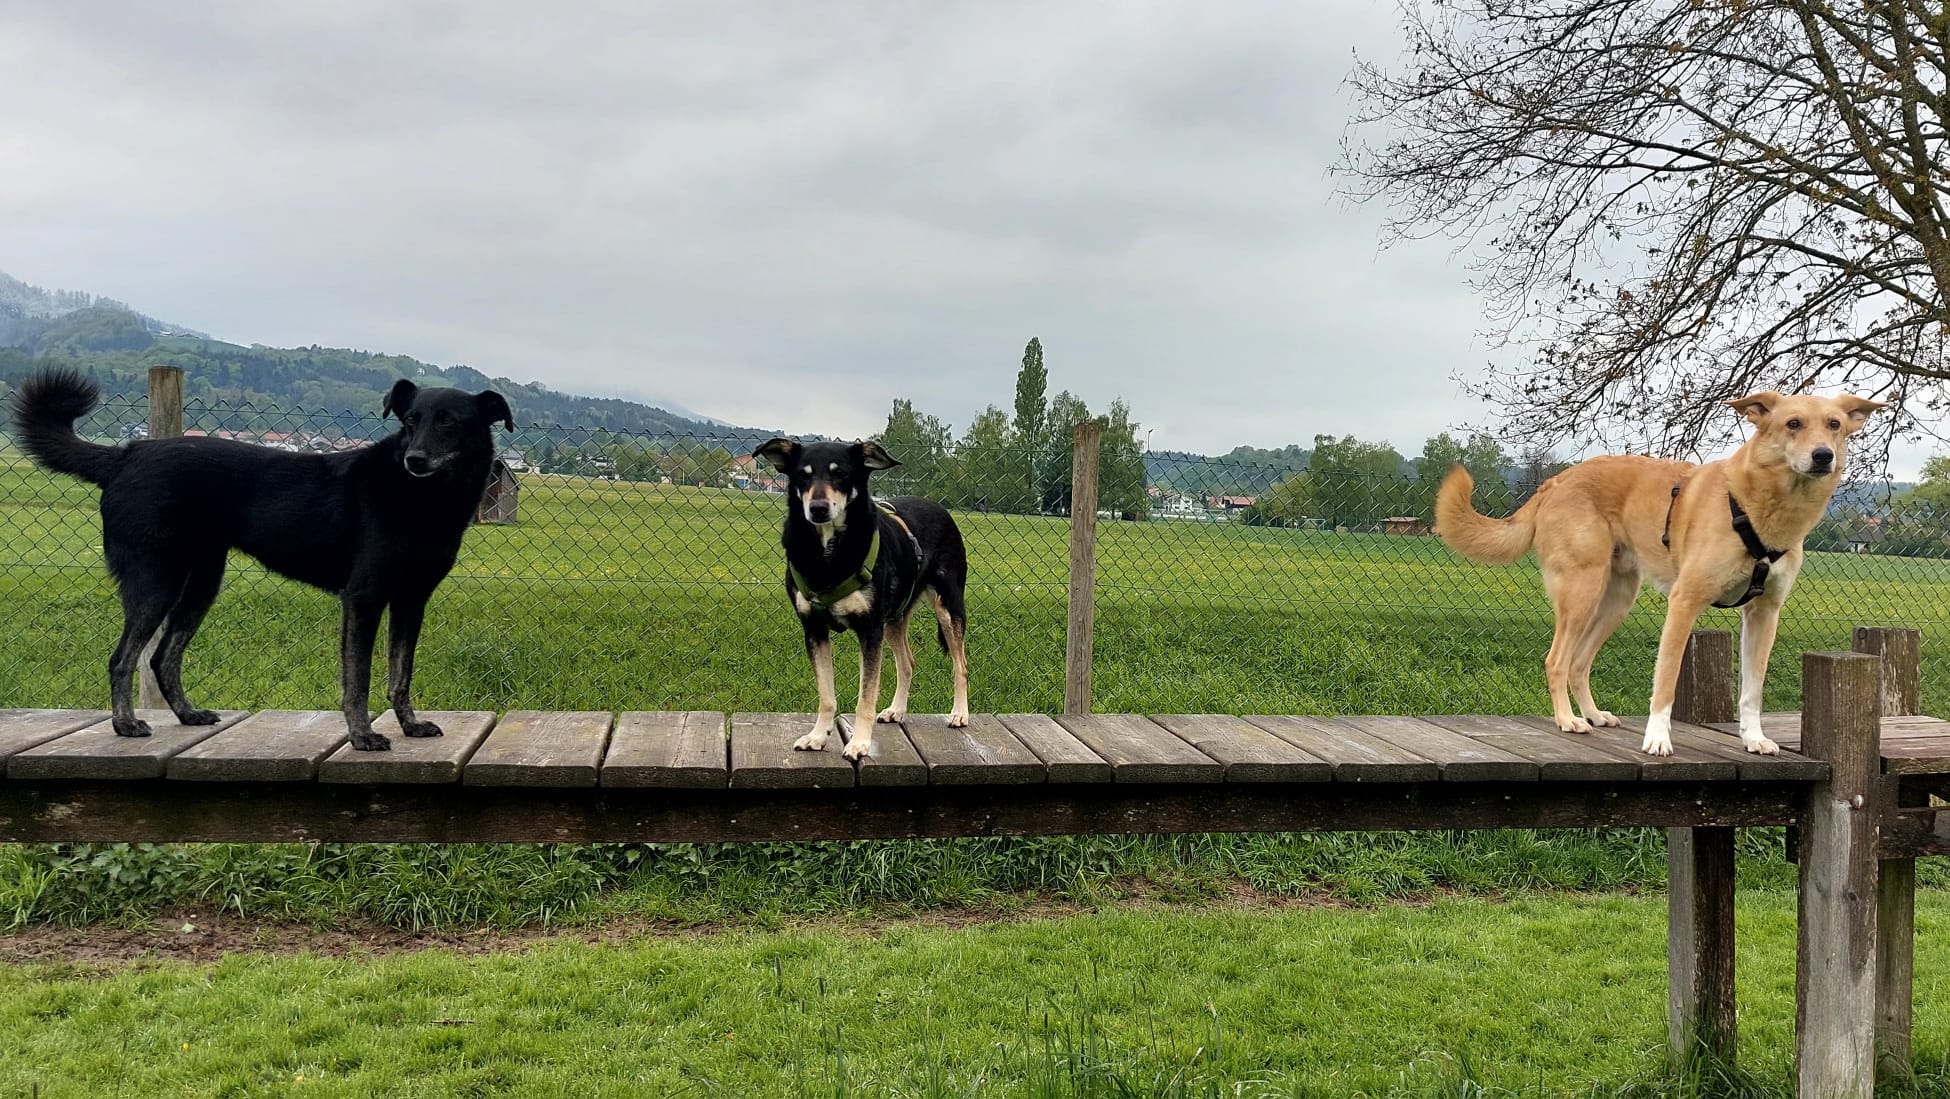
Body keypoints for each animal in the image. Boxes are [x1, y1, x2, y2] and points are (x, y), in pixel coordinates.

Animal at [10, 368, 512, 751]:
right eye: (410, 420)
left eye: (449, 422)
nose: (415, 459)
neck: (422, 497)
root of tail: (124, 455)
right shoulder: (363, 599)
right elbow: (359, 679)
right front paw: (361, 736)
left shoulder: (411, 601)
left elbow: (399, 674)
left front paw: (409, 725)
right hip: (156, 581)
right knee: (123, 659)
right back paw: (124, 724)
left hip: (201, 583)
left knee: (162, 658)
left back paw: (187, 714)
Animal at [752, 437, 971, 761]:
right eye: (803, 475)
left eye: (840, 474)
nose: (817, 509)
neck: (828, 554)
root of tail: (938, 506)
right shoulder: (814, 630)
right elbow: (826, 695)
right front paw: (818, 736)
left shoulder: (869, 630)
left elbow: (865, 697)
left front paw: (860, 743)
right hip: (893, 619)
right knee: (907, 662)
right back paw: (896, 710)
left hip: (947, 609)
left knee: (961, 665)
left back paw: (959, 713)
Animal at [1435, 391, 1882, 756]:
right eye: (1793, 424)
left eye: (1834, 425)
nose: (1823, 455)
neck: (1761, 507)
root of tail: (1554, 480)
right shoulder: (1684, 603)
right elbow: (1665, 682)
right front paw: (1657, 739)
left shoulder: (1764, 612)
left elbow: (1753, 688)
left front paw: (1753, 737)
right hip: (1581, 591)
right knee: (1557, 660)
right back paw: (1567, 719)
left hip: (1616, 600)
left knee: (1579, 663)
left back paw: (1593, 714)